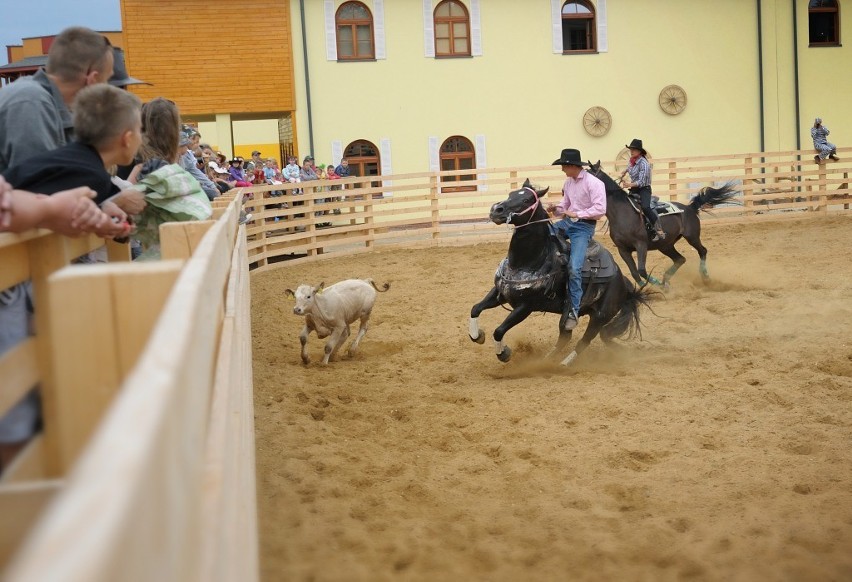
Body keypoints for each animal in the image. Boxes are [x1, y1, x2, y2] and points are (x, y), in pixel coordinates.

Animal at [470, 180, 648, 368]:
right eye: (511, 194)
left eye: (526, 200)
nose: (496, 209)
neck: (524, 264)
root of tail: (623, 282)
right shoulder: (500, 293)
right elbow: (475, 309)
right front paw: (477, 335)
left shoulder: (525, 306)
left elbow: (498, 330)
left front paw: (503, 353)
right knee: (565, 335)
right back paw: (546, 360)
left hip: (600, 316)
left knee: (583, 340)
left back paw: (562, 364)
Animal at [588, 161, 736, 288]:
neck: (621, 212)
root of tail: (690, 208)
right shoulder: (623, 249)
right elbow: (635, 273)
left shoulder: (641, 245)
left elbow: (641, 270)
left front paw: (657, 284)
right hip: (665, 245)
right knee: (680, 259)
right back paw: (666, 281)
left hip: (691, 237)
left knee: (702, 251)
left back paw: (705, 277)